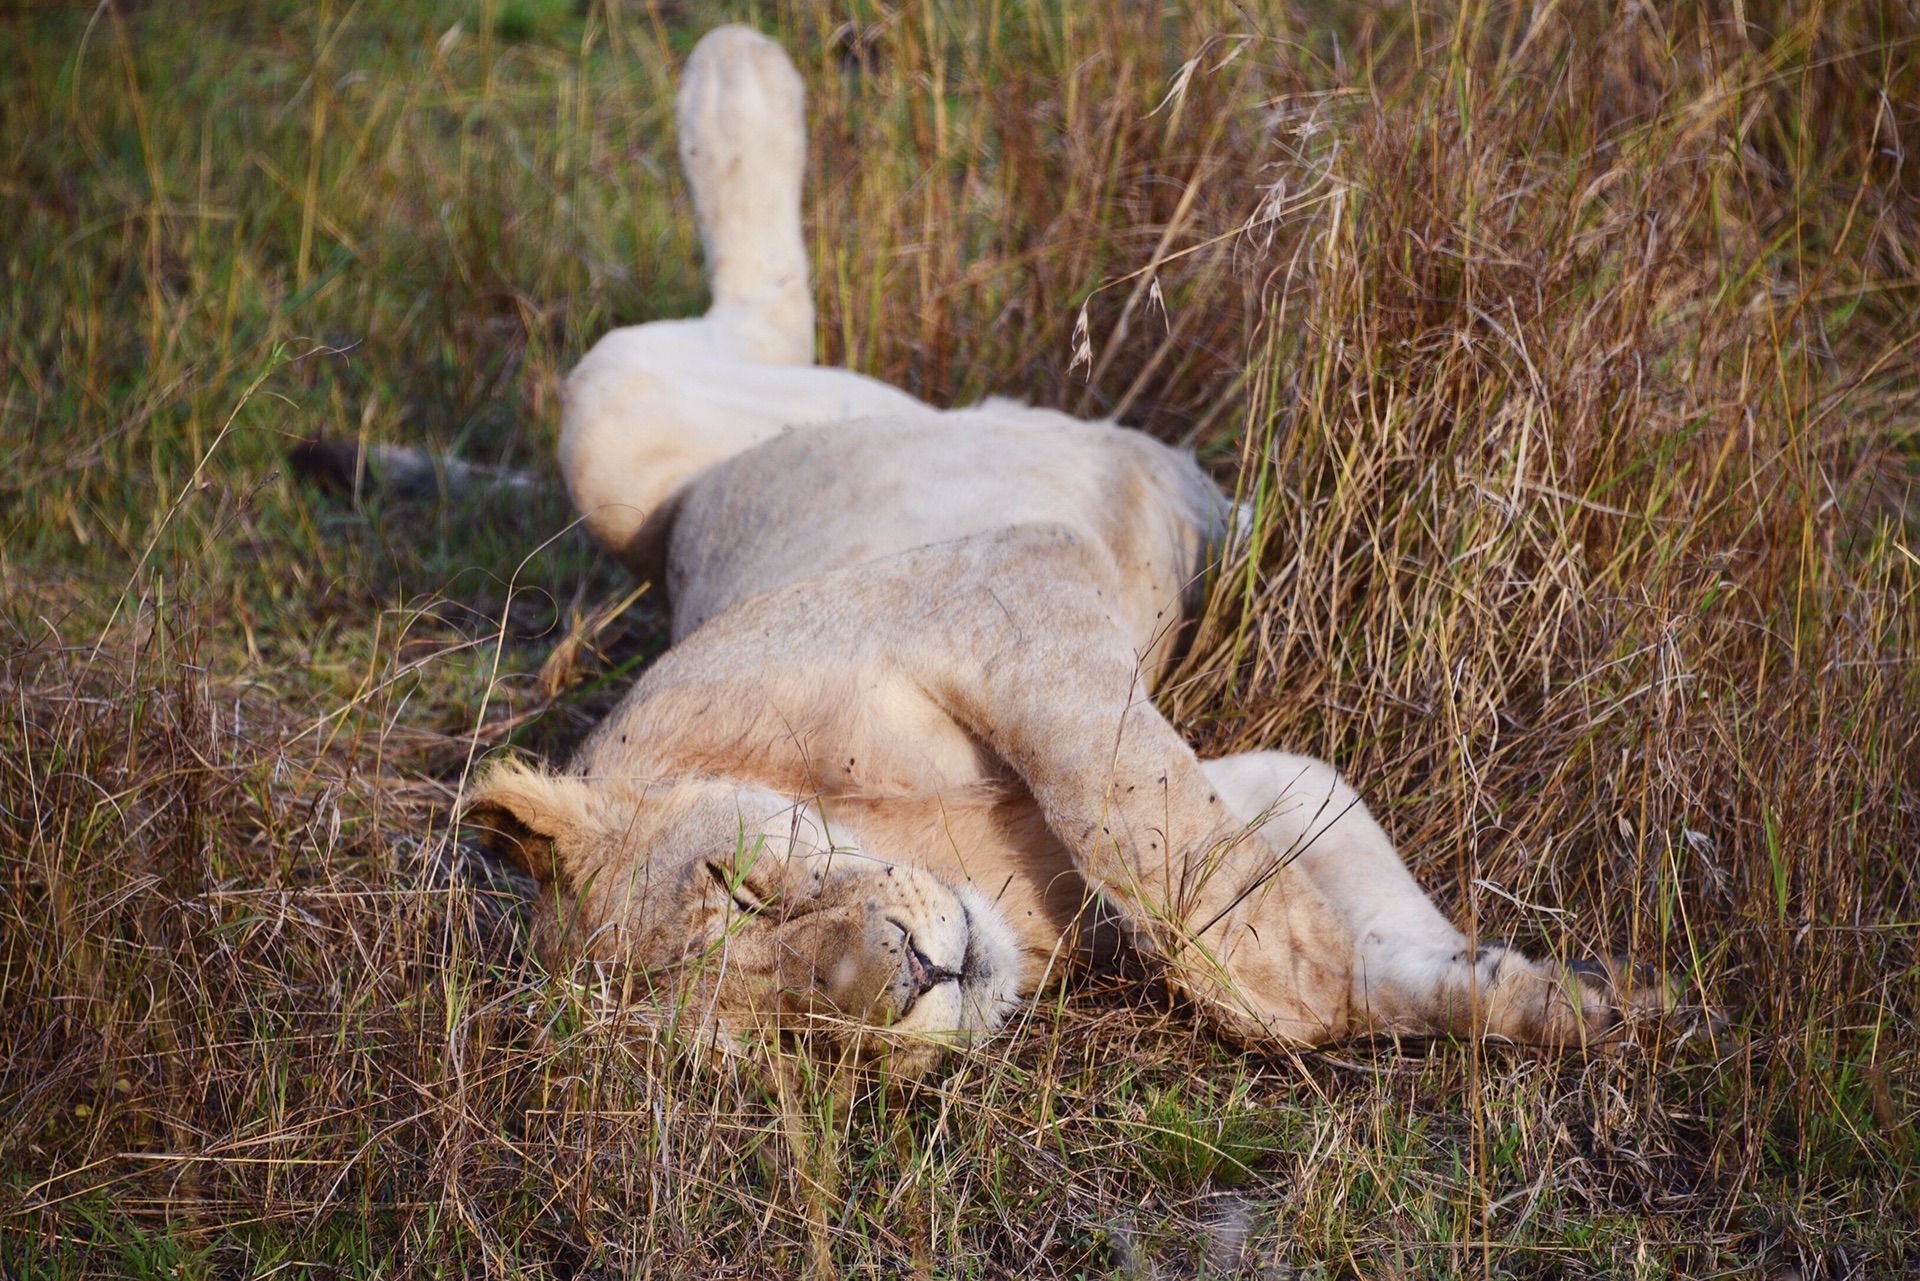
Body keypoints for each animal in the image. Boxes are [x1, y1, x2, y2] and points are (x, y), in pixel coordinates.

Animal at [464, 25, 1666, 1075]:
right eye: (788, 1042)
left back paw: (736, 71)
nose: (911, 976)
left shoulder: (1008, 583)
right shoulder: (1258, 777)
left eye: (740, 885)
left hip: (622, 428)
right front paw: (1553, 998)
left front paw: (1319, 991)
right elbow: (1294, 899)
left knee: (753, 309)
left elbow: (1154, 846)